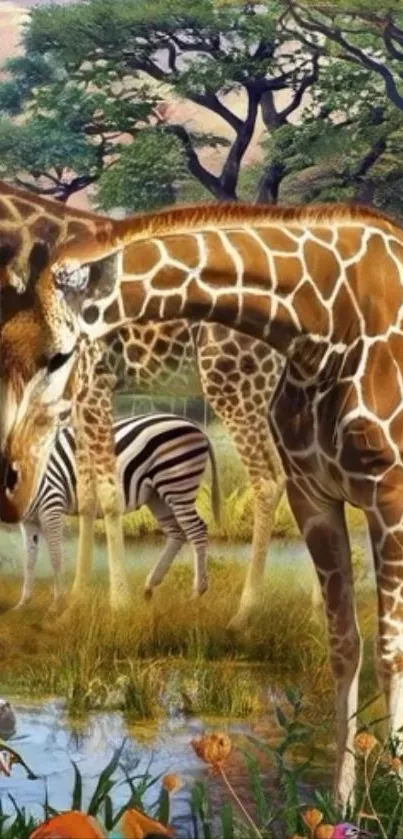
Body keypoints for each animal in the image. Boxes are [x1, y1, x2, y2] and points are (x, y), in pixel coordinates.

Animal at [13, 413, 220, 609]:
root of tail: (195, 426)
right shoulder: (28, 518)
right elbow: (29, 559)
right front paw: (23, 603)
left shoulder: (51, 504)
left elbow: (56, 556)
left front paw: (58, 603)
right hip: (157, 496)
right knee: (177, 533)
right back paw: (150, 586)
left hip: (177, 483)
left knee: (197, 530)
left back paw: (197, 592)